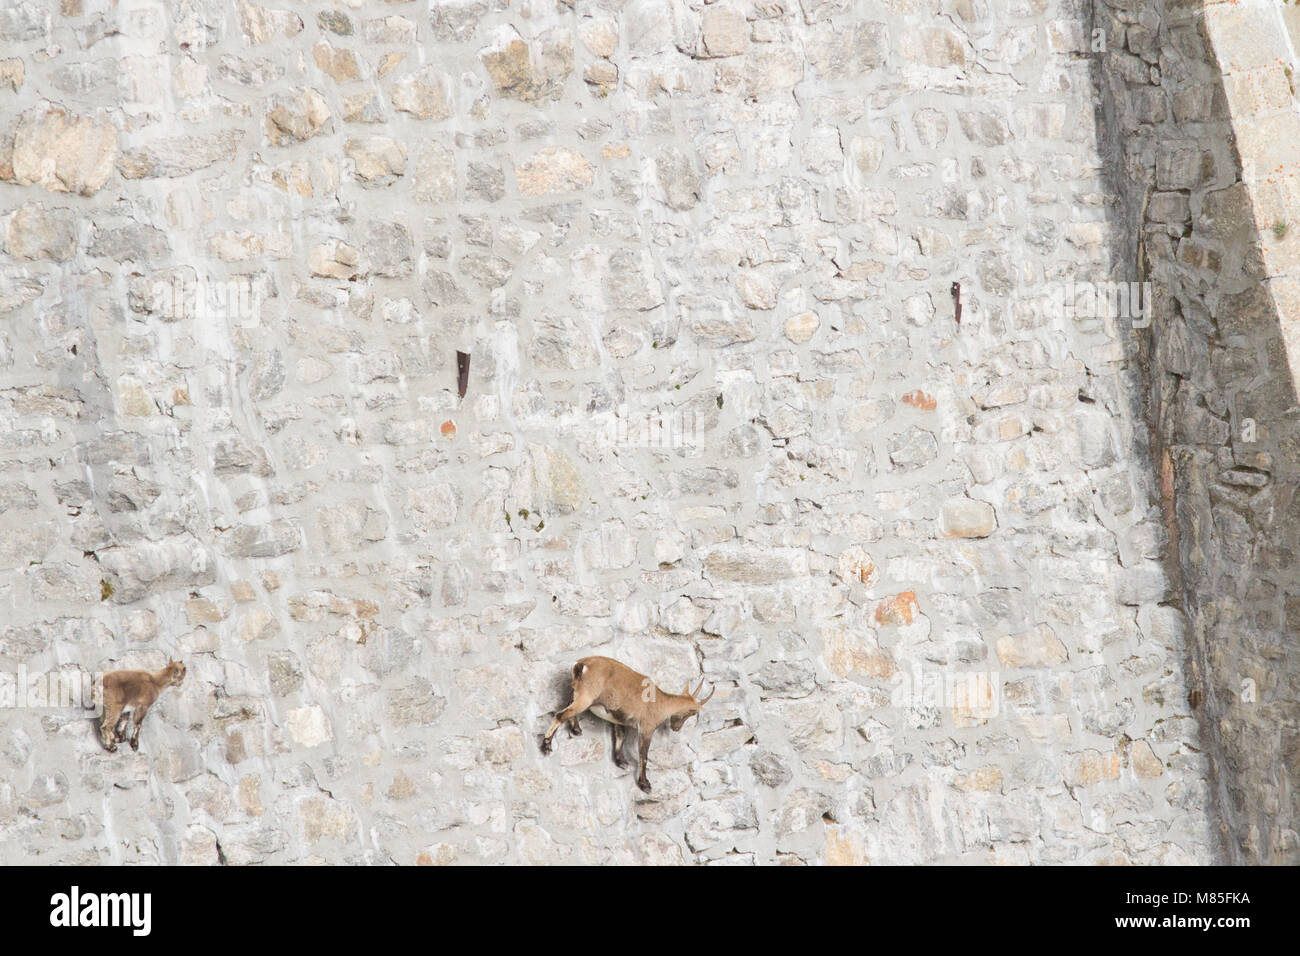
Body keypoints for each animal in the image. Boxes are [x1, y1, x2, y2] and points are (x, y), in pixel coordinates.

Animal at [541, 656, 714, 793]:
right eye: (693, 713)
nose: (676, 728)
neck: (661, 702)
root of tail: (581, 664)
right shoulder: (646, 728)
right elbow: (643, 755)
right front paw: (645, 784)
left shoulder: (618, 719)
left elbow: (620, 736)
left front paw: (621, 762)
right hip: (586, 697)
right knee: (560, 714)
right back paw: (547, 745)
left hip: (579, 694)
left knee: (568, 705)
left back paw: (576, 729)